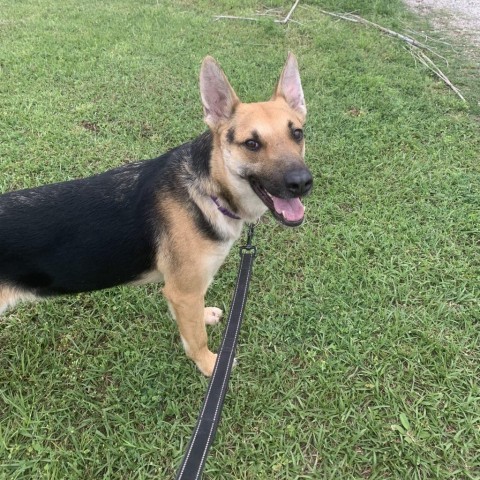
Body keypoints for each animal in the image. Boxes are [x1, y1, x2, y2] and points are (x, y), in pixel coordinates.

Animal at [0, 52, 312, 376]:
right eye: (252, 144)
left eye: (297, 134)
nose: (302, 183)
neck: (208, 191)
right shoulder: (183, 290)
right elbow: (197, 340)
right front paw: (212, 366)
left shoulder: (186, 292)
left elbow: (193, 320)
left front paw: (204, 316)